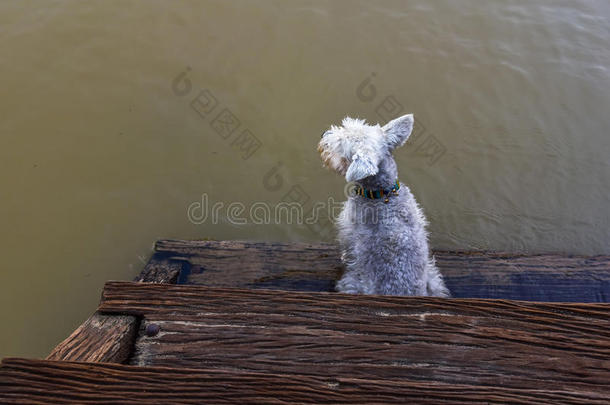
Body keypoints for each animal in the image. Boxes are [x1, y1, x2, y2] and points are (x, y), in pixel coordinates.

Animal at [318, 114, 446, 296]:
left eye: (341, 142)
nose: (324, 134)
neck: (382, 193)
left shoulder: (348, 229)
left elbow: (347, 249)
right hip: (434, 278)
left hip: (351, 283)